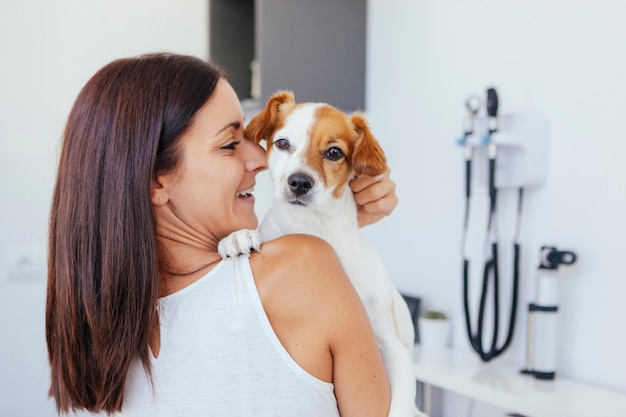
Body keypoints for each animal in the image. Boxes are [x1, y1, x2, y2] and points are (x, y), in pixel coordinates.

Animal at [217, 92, 422, 416]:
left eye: (334, 152)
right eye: (282, 143)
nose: (299, 182)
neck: (315, 227)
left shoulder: (393, 347)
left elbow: (401, 404)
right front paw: (240, 235)